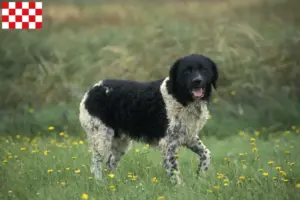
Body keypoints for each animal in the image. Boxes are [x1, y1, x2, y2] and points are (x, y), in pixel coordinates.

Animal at [78, 53, 218, 184]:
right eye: (186, 71)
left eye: (204, 69)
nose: (197, 81)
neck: (180, 97)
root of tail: (92, 89)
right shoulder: (168, 142)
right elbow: (174, 170)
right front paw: (180, 188)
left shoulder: (189, 136)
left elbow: (206, 154)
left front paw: (200, 177)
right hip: (101, 137)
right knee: (96, 164)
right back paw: (100, 184)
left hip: (120, 142)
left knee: (110, 164)